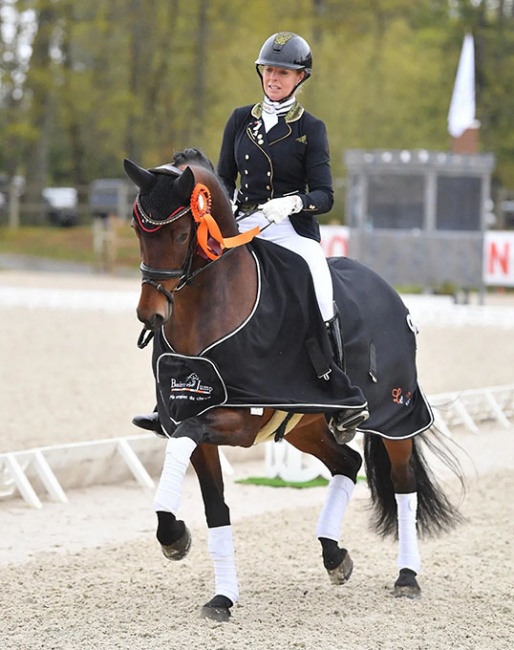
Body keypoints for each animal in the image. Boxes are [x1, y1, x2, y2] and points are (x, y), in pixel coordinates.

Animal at [123, 154, 460, 620]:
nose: (150, 313)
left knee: (403, 484)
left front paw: (174, 535)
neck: (207, 310)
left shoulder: (239, 421)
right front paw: (216, 589)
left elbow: (192, 446)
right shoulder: (188, 416)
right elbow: (214, 504)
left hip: (397, 416)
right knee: (347, 463)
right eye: (138, 230)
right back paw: (335, 556)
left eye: (180, 233)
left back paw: (407, 576)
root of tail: (386, 288)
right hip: (306, 425)